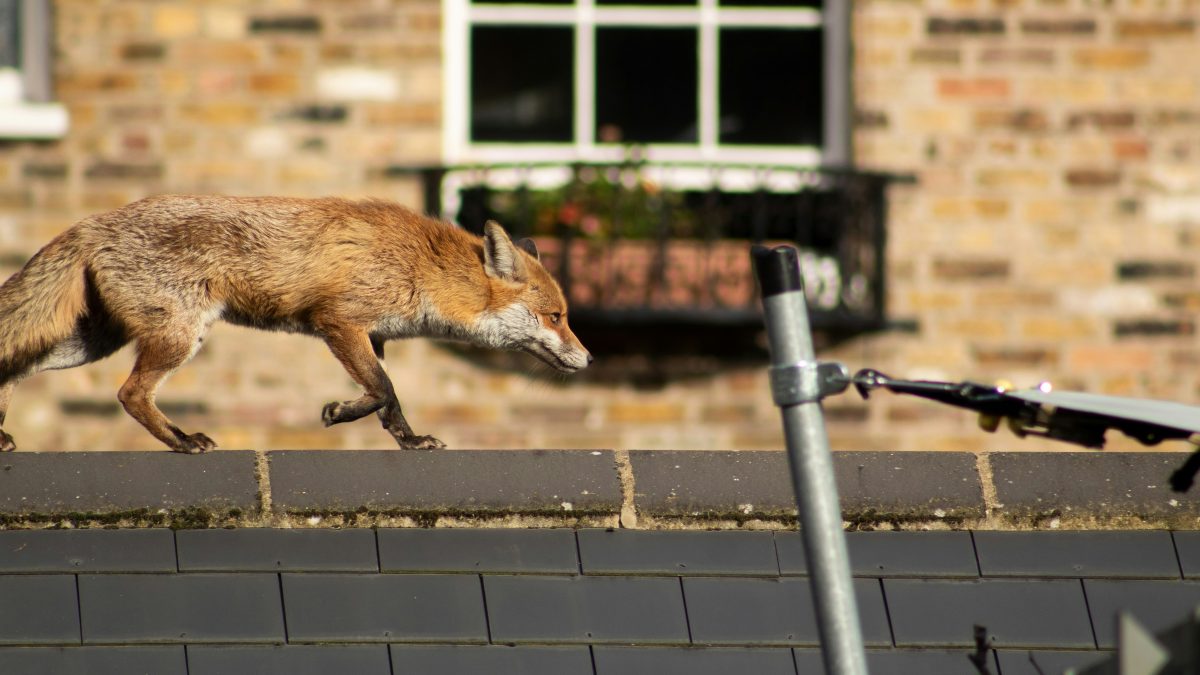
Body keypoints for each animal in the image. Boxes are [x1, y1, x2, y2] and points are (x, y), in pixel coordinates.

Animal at [0, 195, 592, 453]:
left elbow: (388, 399)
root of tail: (91, 221)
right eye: (557, 317)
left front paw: (406, 438)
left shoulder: (373, 335)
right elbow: (383, 389)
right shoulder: (339, 321)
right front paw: (341, 413)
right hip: (177, 337)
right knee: (130, 394)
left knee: (14, 367)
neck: (423, 267)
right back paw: (182, 441)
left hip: (91, 341)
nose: (588, 359)